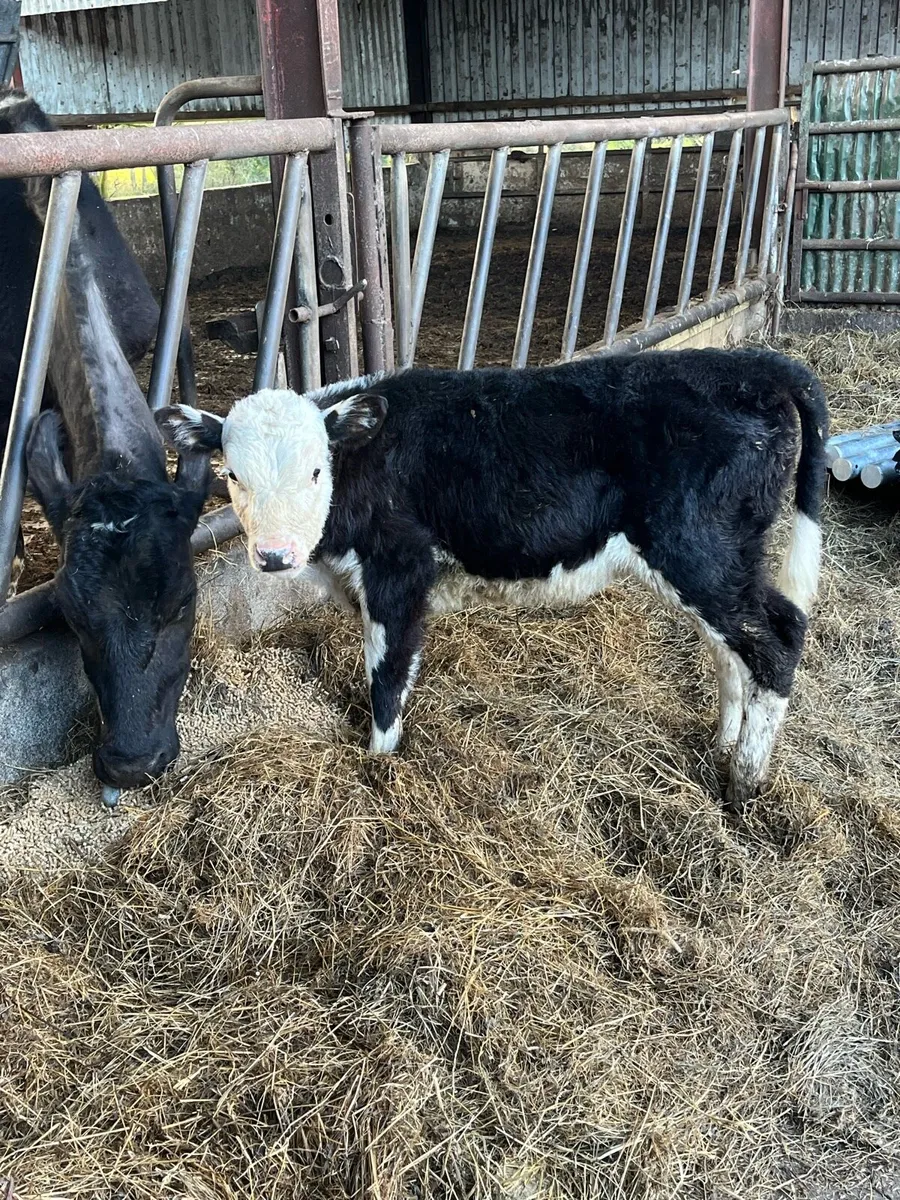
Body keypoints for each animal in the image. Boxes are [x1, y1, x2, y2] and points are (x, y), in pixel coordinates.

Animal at [158, 350, 829, 814]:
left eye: (316, 470)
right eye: (233, 475)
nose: (274, 556)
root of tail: (749, 365)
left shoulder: (401, 570)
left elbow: (388, 677)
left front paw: (379, 770)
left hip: (697, 550)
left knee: (779, 637)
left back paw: (745, 780)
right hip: (721, 559)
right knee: (730, 646)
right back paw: (721, 744)